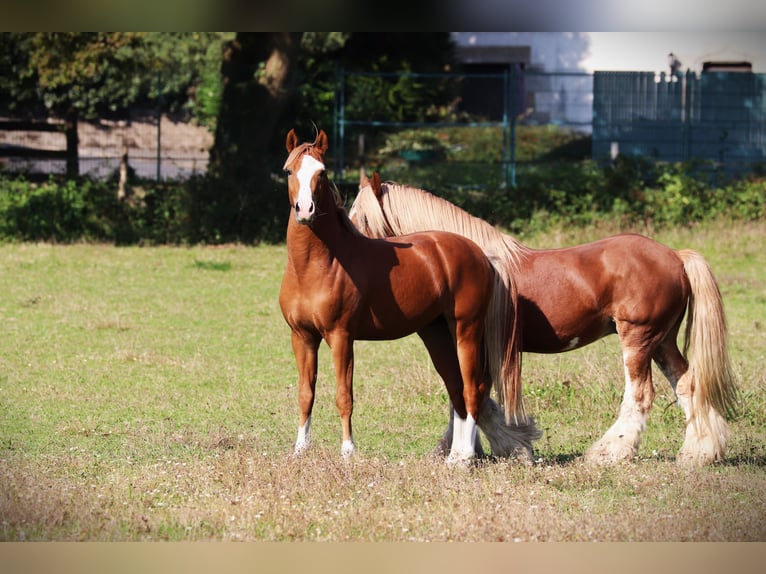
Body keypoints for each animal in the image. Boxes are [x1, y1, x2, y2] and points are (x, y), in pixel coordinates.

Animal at [280, 129, 540, 464]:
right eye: (289, 171)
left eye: (321, 172)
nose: (305, 210)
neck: (315, 266)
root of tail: (480, 254)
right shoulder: (302, 336)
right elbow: (305, 394)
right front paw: (300, 449)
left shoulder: (341, 336)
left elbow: (343, 395)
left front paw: (348, 452)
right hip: (437, 333)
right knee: (458, 389)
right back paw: (454, 456)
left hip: (466, 329)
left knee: (473, 388)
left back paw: (465, 457)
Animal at [352, 177, 740, 468]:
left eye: (359, 217)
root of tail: (675, 255)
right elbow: (463, 395)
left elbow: (471, 394)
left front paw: (509, 447)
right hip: (662, 341)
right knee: (687, 384)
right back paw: (699, 452)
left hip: (639, 338)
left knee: (640, 395)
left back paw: (609, 453)